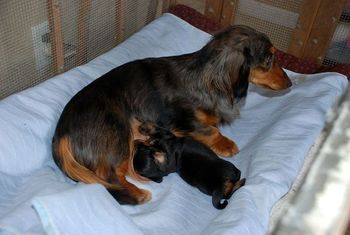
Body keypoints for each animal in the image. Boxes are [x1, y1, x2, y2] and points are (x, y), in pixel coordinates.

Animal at [52, 24, 292, 204]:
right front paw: (225, 144)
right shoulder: (182, 120)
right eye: (269, 58)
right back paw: (138, 195)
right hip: (116, 137)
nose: (290, 83)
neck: (206, 80)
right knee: (108, 177)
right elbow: (210, 130)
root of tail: (61, 132)